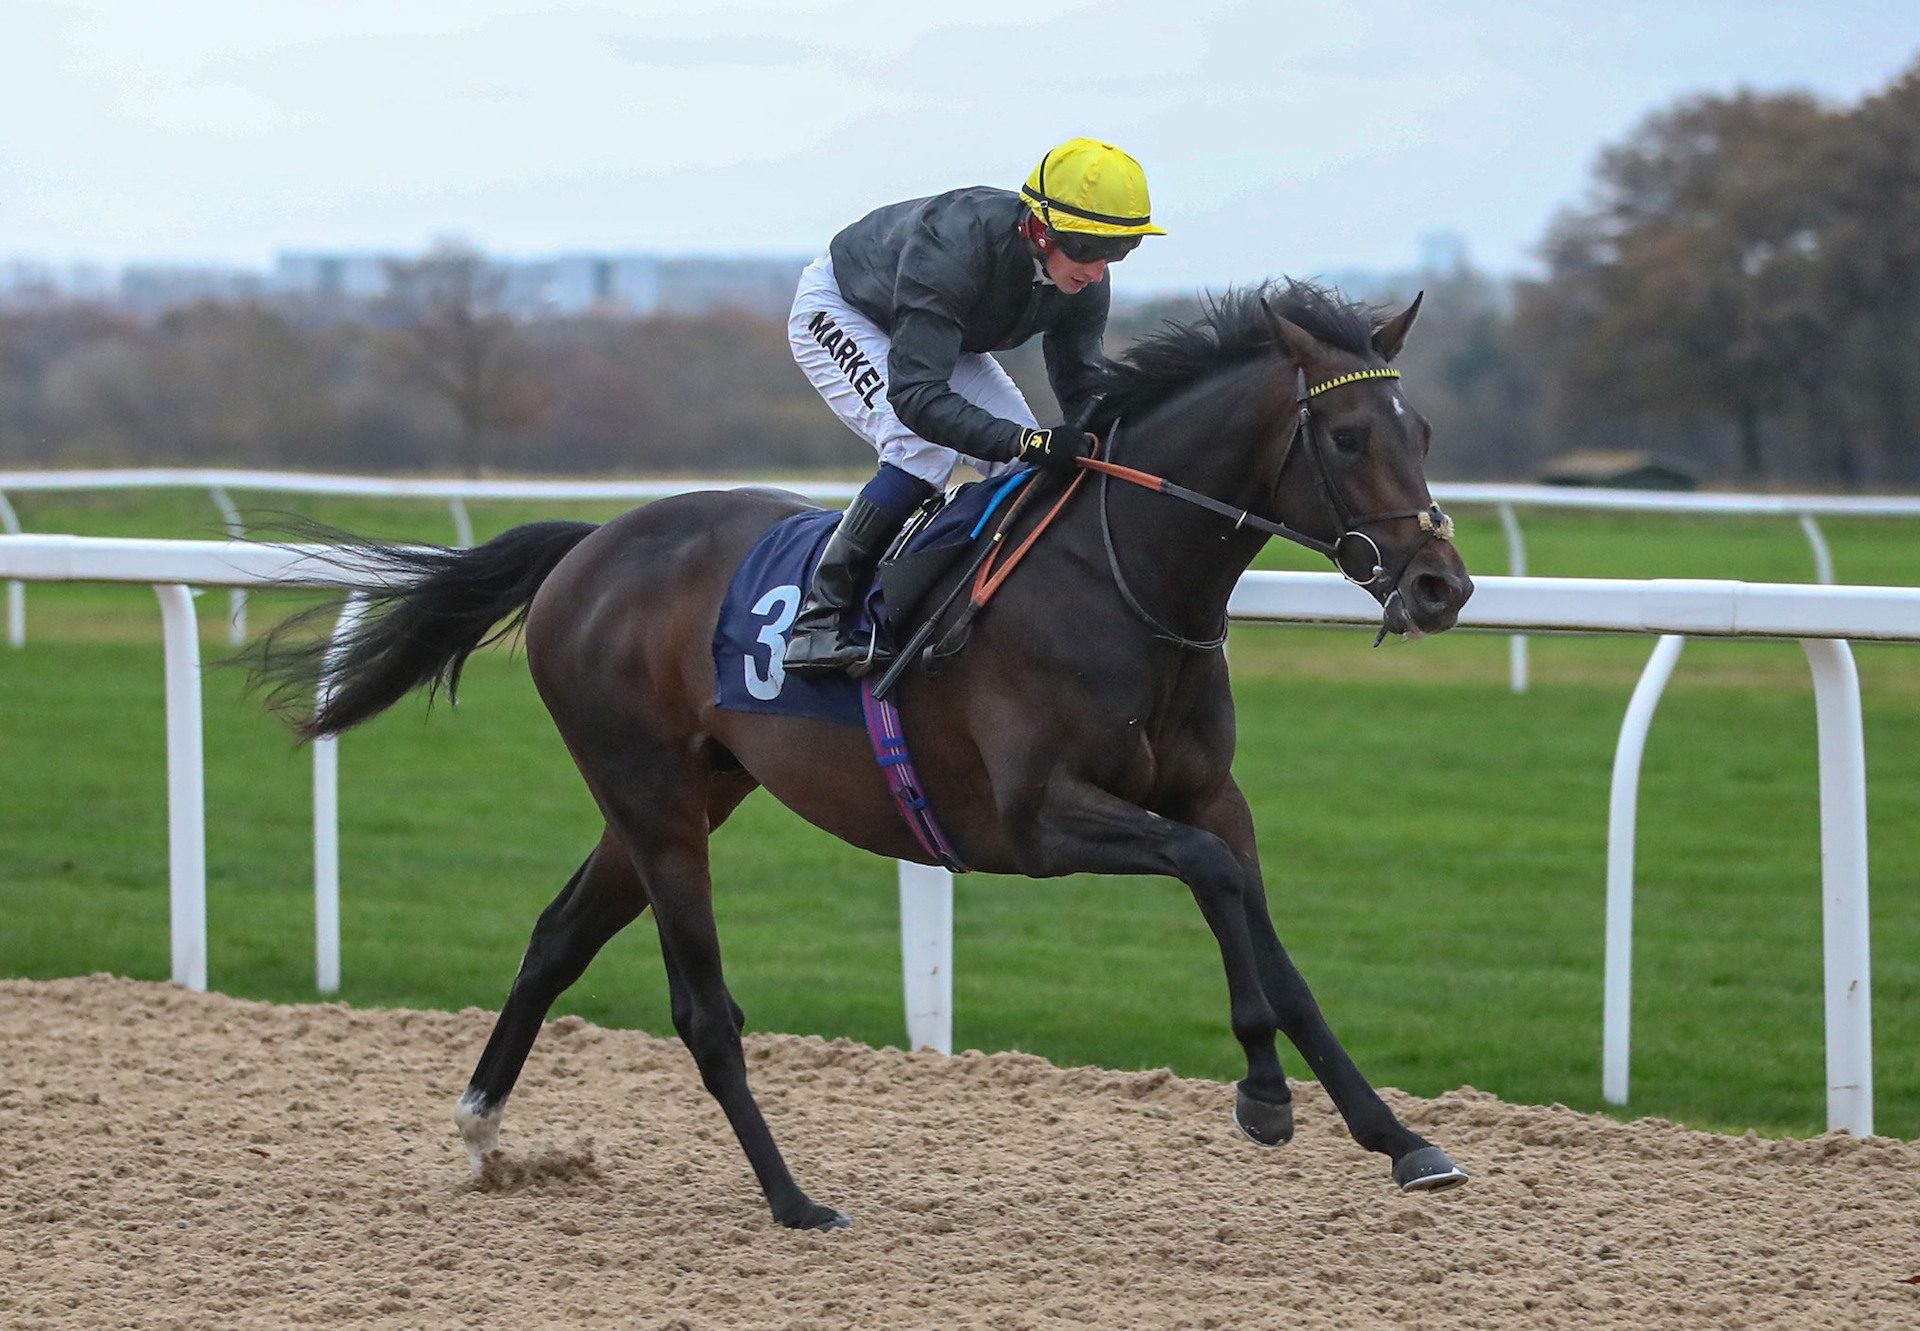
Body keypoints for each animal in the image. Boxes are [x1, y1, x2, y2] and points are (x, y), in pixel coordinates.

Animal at [255, 278, 1474, 1221]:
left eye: (1421, 434)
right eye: (1351, 438)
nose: (1441, 586)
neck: (1121, 577)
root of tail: (589, 545)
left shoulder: (1213, 798)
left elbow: (1272, 944)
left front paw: (1398, 1135)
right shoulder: (1038, 822)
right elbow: (1215, 883)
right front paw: (1263, 1092)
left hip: (686, 790)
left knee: (557, 937)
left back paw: (480, 1130)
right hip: (653, 796)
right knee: (701, 1009)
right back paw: (793, 1198)